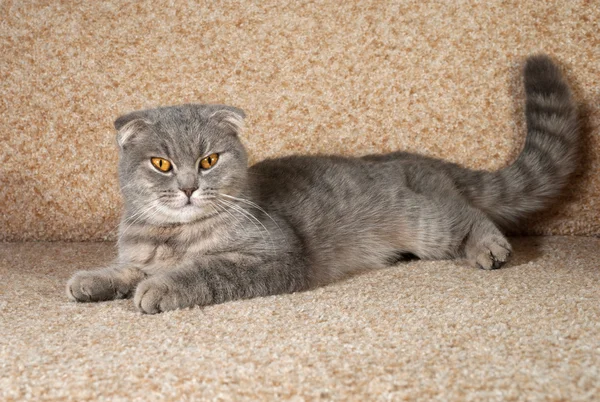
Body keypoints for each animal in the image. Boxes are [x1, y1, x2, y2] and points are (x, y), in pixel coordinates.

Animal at [68, 55, 580, 314]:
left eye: (208, 160)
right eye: (161, 163)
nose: (190, 187)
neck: (173, 236)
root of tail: (414, 159)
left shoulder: (272, 256)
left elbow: (204, 271)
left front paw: (162, 288)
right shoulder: (141, 255)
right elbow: (126, 270)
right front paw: (93, 279)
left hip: (428, 222)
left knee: (471, 215)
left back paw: (490, 247)